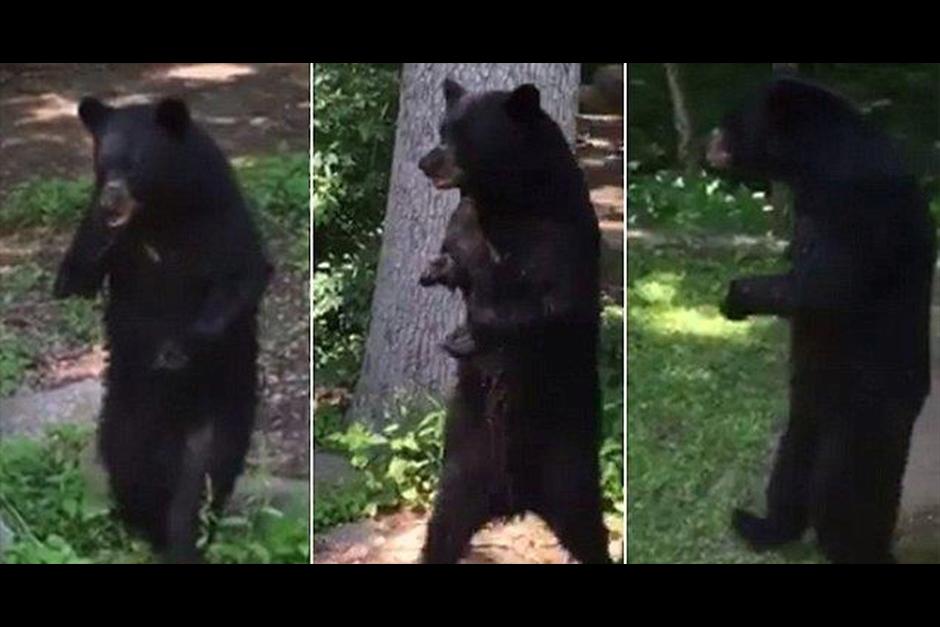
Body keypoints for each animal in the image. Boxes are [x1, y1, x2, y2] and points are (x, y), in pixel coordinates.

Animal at [53, 96, 272, 563]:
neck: (160, 215)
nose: (112, 199)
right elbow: (73, 281)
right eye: (103, 162)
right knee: (129, 466)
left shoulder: (218, 214)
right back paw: (141, 528)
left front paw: (176, 349)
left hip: (222, 402)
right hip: (124, 413)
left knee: (203, 476)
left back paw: (184, 538)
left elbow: (241, 278)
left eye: (135, 164)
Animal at [415, 79, 610, 564]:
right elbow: (459, 261)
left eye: (463, 134)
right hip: (463, 466)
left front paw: (467, 334)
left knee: (589, 532)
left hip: (569, 469)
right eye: (443, 128)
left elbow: (546, 307)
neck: (504, 203)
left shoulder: (560, 235)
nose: (425, 162)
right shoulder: (467, 223)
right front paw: (435, 270)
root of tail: (513, 499)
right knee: (442, 529)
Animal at [706, 76, 936, 563]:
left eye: (733, 118)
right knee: (791, 464)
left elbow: (825, 284)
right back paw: (761, 524)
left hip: (866, 409)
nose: (710, 141)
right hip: (809, 405)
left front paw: (735, 296)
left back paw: (856, 549)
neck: (814, 162)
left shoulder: (859, 203)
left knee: (843, 491)